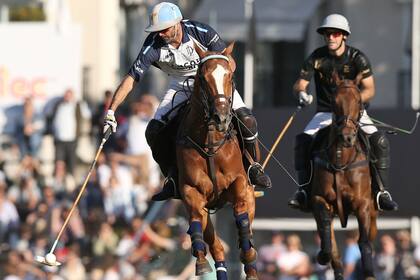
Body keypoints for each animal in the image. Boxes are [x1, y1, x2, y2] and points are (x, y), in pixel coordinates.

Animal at [176, 42, 258, 280]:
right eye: (202, 78)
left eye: (230, 76)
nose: (221, 118)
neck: (210, 142)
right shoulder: (191, 191)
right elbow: (196, 223)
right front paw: (201, 262)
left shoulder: (239, 183)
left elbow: (241, 218)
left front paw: (248, 254)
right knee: (218, 246)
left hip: (251, 194)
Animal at [312, 74, 378, 280]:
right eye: (334, 101)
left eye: (359, 101)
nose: (347, 137)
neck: (341, 159)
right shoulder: (320, 200)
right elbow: (329, 246)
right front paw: (322, 255)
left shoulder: (363, 204)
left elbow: (364, 242)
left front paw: (369, 273)